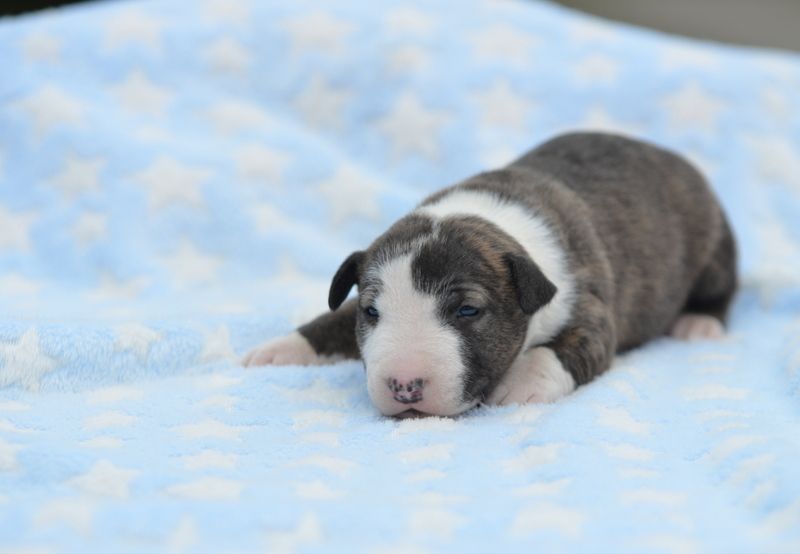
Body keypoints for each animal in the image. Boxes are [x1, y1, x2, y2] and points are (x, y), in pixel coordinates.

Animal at [242, 132, 737, 417]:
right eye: (371, 313)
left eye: (467, 310)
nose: (404, 386)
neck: (485, 218)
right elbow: (332, 321)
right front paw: (280, 351)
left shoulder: (592, 309)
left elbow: (563, 348)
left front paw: (522, 383)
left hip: (716, 247)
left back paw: (698, 323)